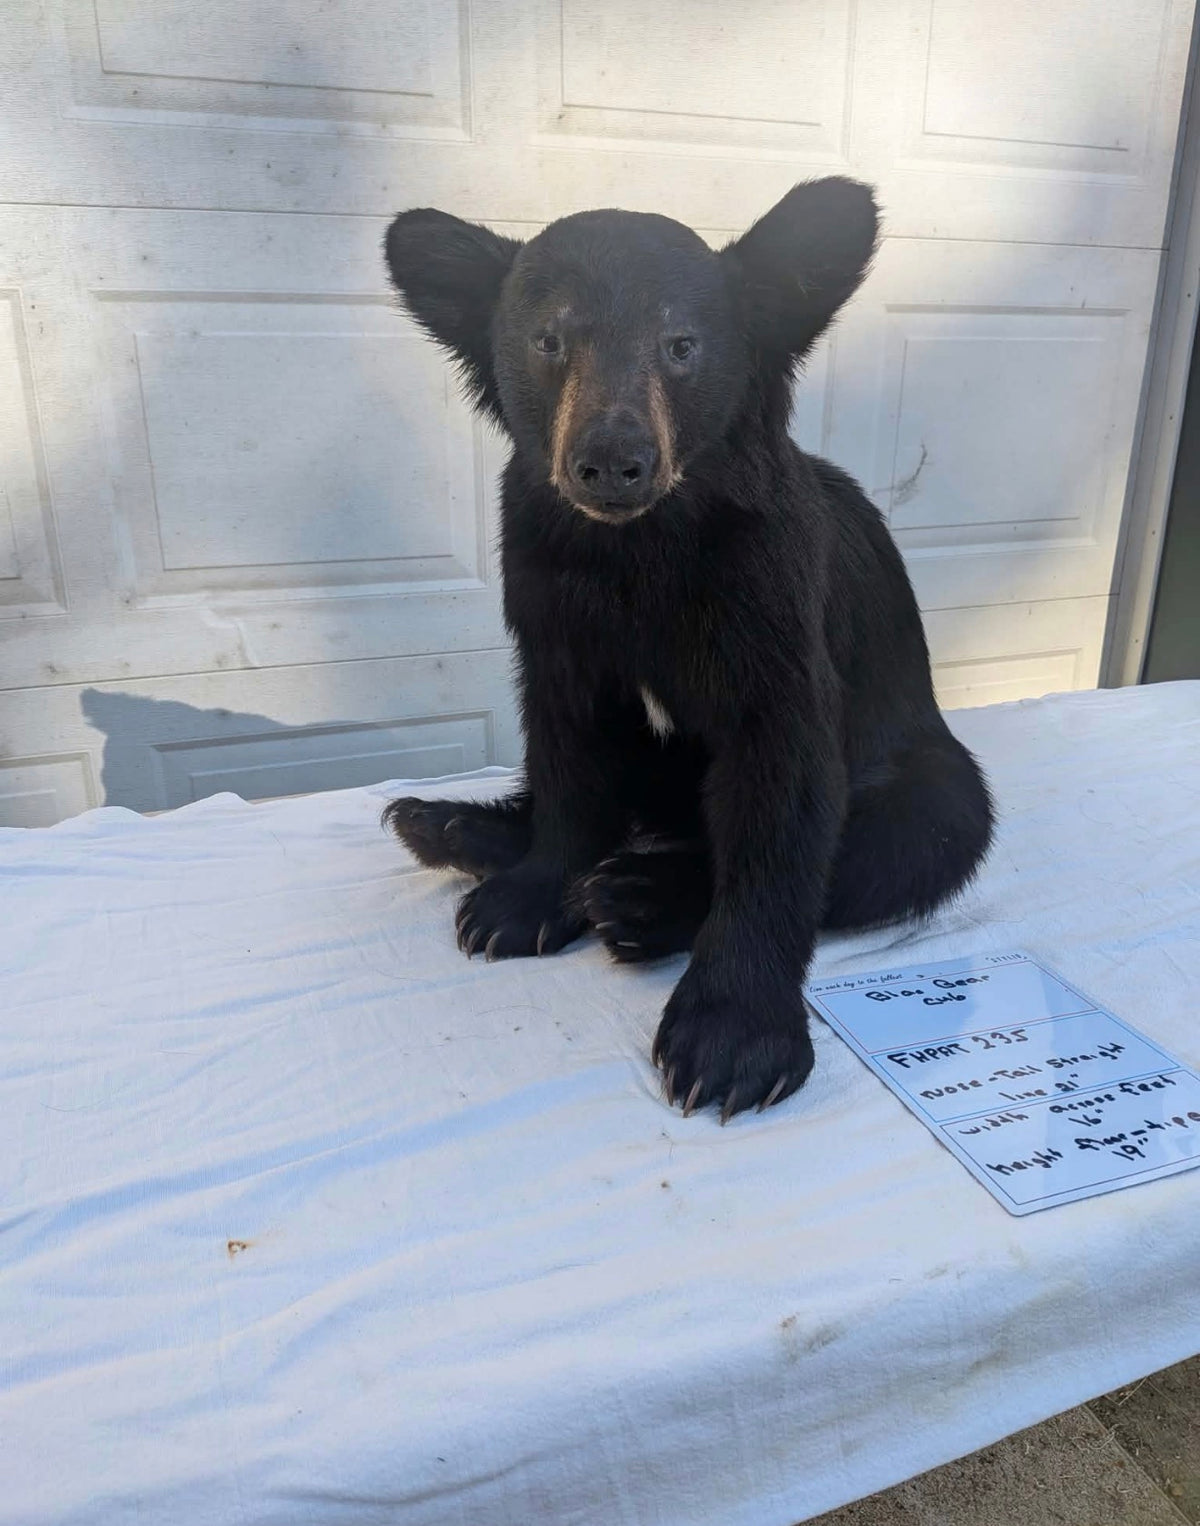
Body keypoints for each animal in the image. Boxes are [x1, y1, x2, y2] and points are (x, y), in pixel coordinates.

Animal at [380, 177, 994, 1121]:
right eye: (549, 339)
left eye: (681, 345)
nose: (610, 461)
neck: (640, 549)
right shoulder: (549, 600)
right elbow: (566, 747)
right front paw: (525, 897)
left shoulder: (771, 607)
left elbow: (782, 803)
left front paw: (732, 1038)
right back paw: (449, 825)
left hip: (927, 769)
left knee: (911, 836)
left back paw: (637, 898)